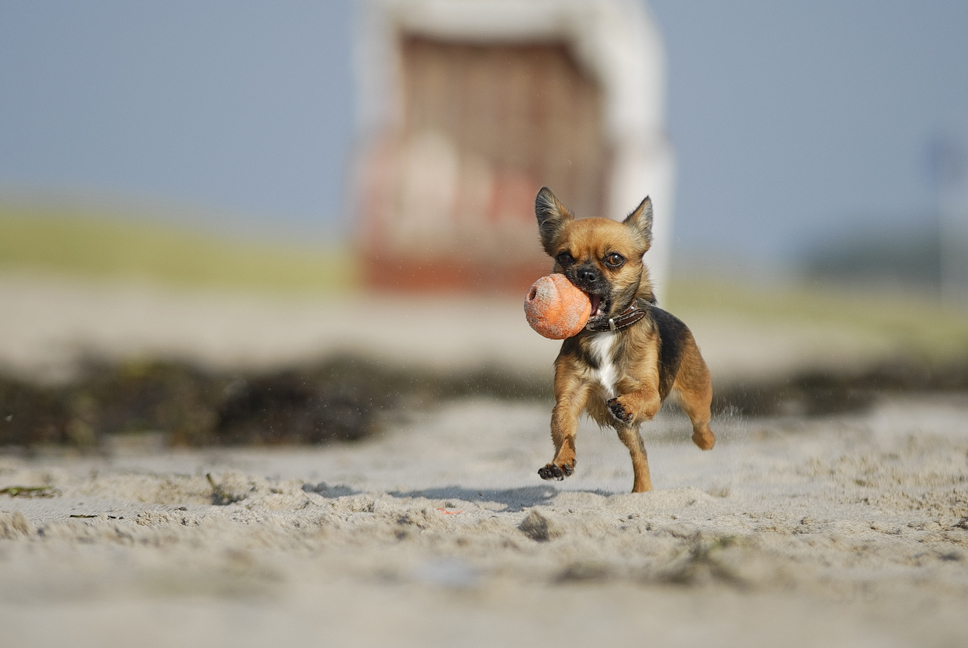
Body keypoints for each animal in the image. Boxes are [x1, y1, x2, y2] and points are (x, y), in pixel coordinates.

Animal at [532, 186, 716, 492]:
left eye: (614, 259)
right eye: (565, 257)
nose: (584, 273)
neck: (606, 330)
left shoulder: (651, 395)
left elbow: (643, 395)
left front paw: (626, 403)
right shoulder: (569, 396)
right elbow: (564, 430)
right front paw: (561, 461)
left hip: (696, 397)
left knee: (702, 428)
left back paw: (704, 442)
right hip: (626, 430)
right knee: (639, 454)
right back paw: (642, 491)